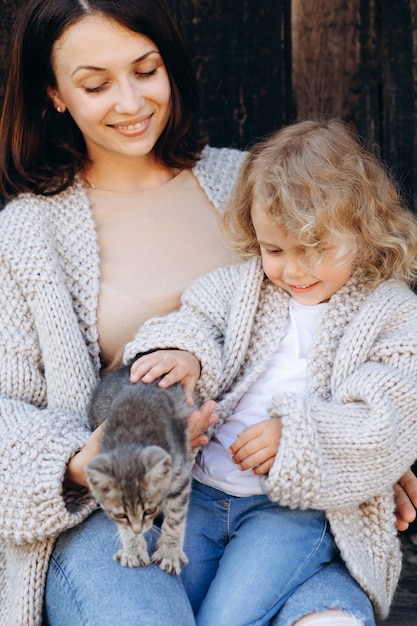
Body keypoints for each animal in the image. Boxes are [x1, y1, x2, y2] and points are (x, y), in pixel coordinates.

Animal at [85, 364, 192, 572]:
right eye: (120, 514)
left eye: (150, 510)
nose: (138, 528)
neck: (132, 432)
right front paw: (132, 549)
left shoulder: (180, 474)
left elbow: (175, 516)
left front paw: (169, 552)